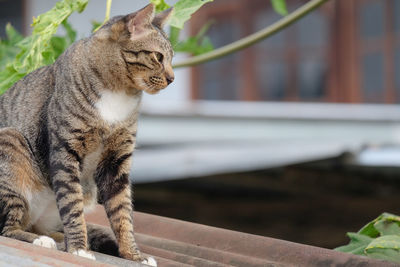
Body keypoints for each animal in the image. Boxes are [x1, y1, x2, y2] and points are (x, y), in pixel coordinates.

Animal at [0, 4, 173, 266]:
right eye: (158, 57)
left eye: (171, 58)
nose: (172, 78)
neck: (119, 93)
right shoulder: (65, 150)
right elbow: (72, 205)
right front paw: (79, 249)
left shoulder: (117, 161)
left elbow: (122, 213)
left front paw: (134, 255)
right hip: (10, 141)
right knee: (8, 228)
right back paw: (43, 241)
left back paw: (57, 238)